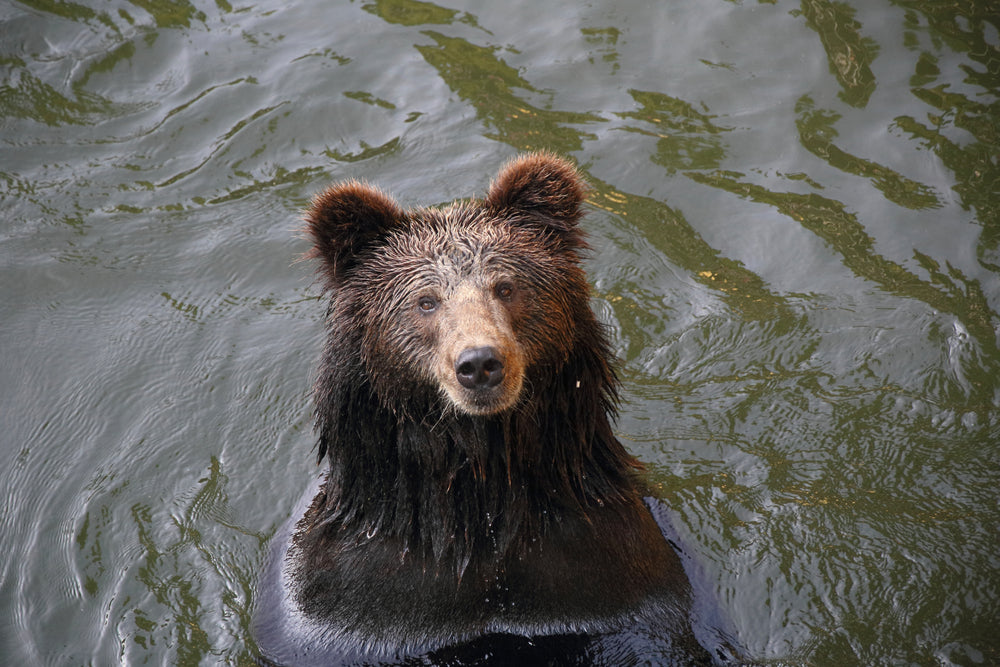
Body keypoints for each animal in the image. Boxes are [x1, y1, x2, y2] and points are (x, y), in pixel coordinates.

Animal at [254, 154, 732, 664]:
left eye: (505, 287)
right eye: (426, 301)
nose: (480, 363)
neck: (484, 498)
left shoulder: (609, 569)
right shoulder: (354, 602)